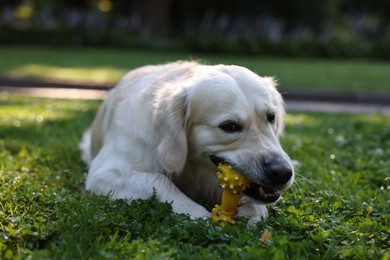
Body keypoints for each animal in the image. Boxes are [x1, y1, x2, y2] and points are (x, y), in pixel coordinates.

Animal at [79, 61, 292, 225]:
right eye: (229, 126)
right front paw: (197, 213)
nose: (283, 173)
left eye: (271, 117)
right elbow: (159, 179)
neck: (191, 166)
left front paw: (254, 212)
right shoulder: (103, 172)